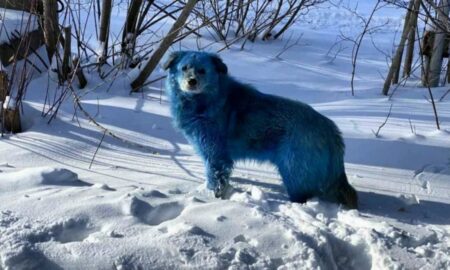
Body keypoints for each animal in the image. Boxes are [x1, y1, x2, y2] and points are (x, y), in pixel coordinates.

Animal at [163, 50, 356, 209]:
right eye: (184, 68)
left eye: (202, 70)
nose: (191, 82)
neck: (207, 100)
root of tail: (330, 129)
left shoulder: (215, 154)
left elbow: (215, 178)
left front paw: (211, 198)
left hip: (293, 171)